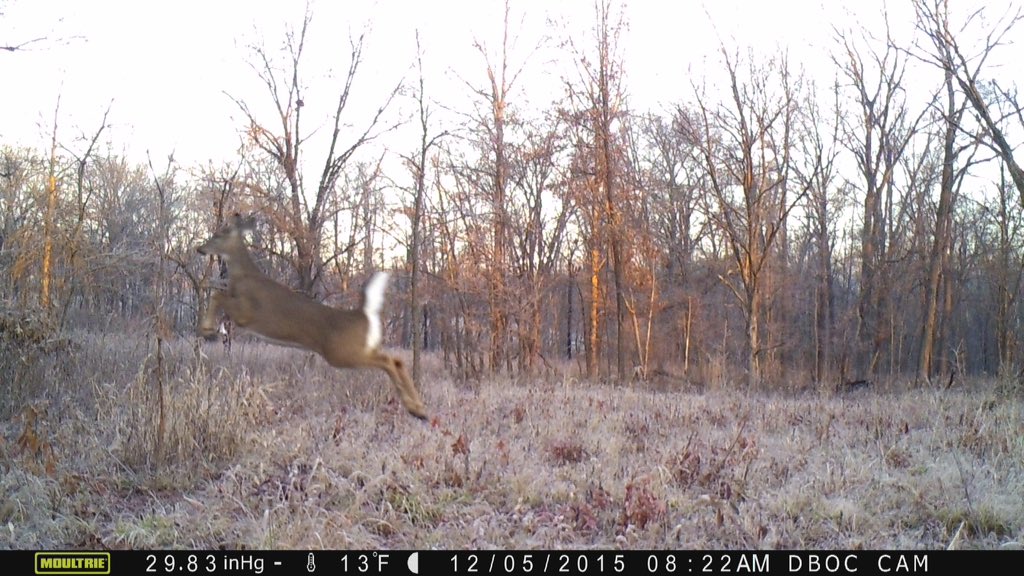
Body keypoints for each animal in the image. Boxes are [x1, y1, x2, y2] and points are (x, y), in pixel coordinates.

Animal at [196, 214, 428, 420]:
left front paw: (208, 331)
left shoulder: (246, 313)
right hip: (355, 349)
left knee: (389, 361)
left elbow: (217, 295)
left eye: (218, 234)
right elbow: (216, 293)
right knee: (397, 360)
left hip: (342, 353)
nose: (200, 249)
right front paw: (210, 330)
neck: (242, 276)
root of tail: (361, 314)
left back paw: (416, 409)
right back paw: (418, 410)